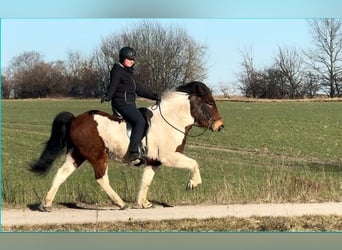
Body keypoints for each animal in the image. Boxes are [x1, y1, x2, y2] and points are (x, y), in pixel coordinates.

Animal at [30, 81, 224, 211]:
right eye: (209, 103)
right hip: (97, 156)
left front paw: (143, 203)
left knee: (61, 174)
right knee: (101, 178)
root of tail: (75, 119)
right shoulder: (169, 157)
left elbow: (146, 181)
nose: (220, 126)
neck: (171, 120)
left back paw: (46, 204)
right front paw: (193, 184)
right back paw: (121, 203)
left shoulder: (153, 161)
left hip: (77, 155)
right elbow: (194, 163)